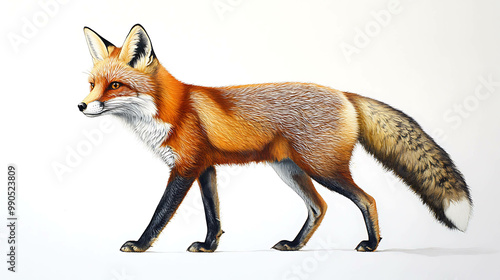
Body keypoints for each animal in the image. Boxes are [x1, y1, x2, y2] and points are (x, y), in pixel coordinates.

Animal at [79, 24, 472, 254]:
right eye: (93, 84)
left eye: (116, 85)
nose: (81, 105)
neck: (171, 111)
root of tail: (345, 94)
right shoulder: (205, 168)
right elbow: (213, 215)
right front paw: (209, 247)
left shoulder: (185, 168)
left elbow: (160, 213)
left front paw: (141, 244)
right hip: (290, 170)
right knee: (320, 207)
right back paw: (295, 245)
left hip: (323, 169)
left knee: (367, 199)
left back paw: (373, 244)